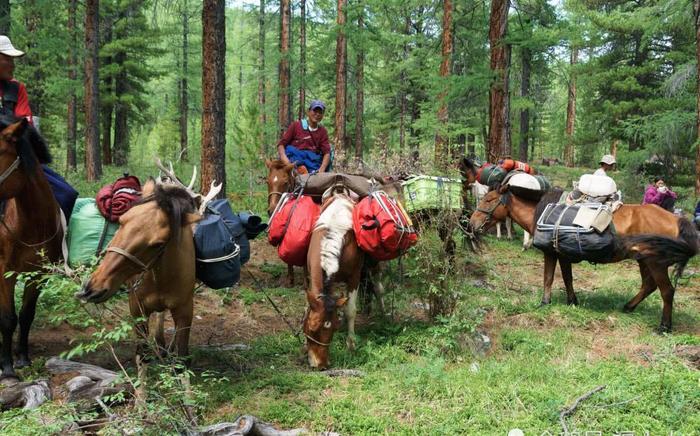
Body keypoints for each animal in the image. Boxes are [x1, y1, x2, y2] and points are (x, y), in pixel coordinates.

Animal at [77, 181, 202, 362]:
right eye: (121, 221)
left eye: (158, 244)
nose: (92, 287)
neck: (160, 278)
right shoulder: (137, 309)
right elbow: (142, 354)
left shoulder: (185, 311)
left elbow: (182, 357)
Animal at [474, 186, 696, 330]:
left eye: (489, 200)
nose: (472, 222)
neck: (542, 211)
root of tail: (676, 218)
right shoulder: (562, 255)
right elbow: (567, 279)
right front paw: (572, 301)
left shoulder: (550, 253)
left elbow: (548, 278)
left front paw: (545, 303)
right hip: (644, 260)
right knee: (649, 286)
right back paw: (629, 307)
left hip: (655, 263)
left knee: (667, 291)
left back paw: (664, 325)